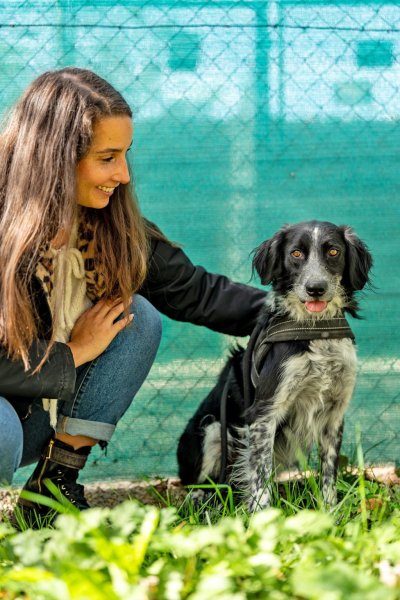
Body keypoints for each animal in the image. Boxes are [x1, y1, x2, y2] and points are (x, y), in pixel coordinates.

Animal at [178, 220, 372, 510]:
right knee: (202, 483)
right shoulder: (264, 413)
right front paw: (262, 516)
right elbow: (259, 479)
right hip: (211, 430)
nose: (316, 288)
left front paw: (329, 511)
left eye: (333, 252)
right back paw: (200, 497)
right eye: (296, 253)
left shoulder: (334, 415)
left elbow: (328, 473)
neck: (316, 329)